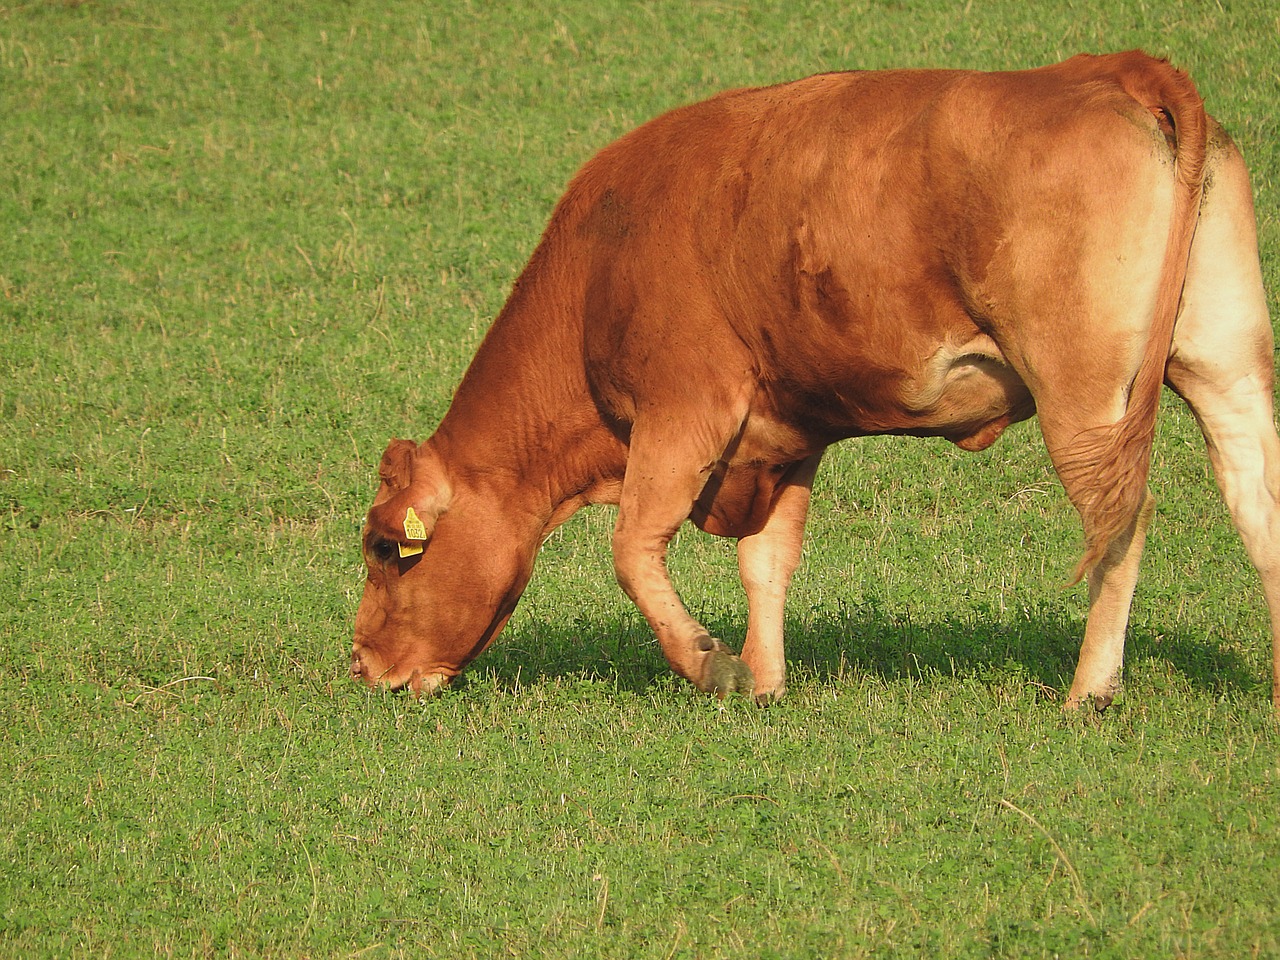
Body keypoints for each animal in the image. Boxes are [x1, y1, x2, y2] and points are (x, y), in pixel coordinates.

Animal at [350, 54, 1280, 716]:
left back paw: (1089, 691)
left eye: (389, 547)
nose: (362, 665)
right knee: (1255, 495)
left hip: (1083, 389)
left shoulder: (685, 408)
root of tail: (1106, 68)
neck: (596, 271)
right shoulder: (785, 431)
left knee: (1120, 518)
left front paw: (711, 666)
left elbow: (633, 547)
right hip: (1222, 359)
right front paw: (765, 684)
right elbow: (767, 560)